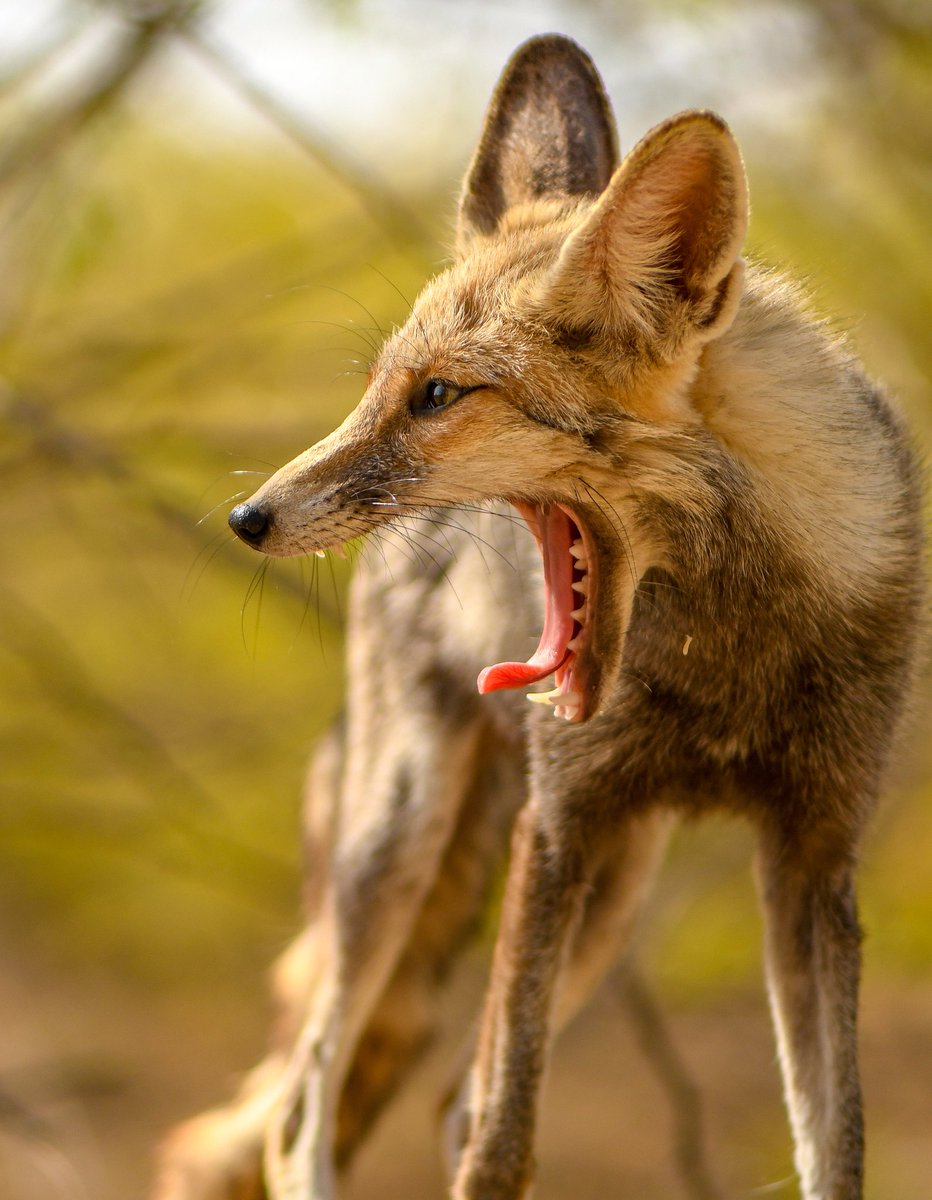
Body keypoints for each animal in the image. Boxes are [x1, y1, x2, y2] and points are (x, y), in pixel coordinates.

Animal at [154, 33, 924, 1200]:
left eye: (436, 396)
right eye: (381, 387)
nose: (246, 517)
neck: (732, 654)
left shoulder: (812, 864)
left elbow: (833, 1153)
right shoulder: (554, 829)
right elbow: (500, 1145)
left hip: (619, 891)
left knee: (444, 1101)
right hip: (403, 834)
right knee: (304, 1108)